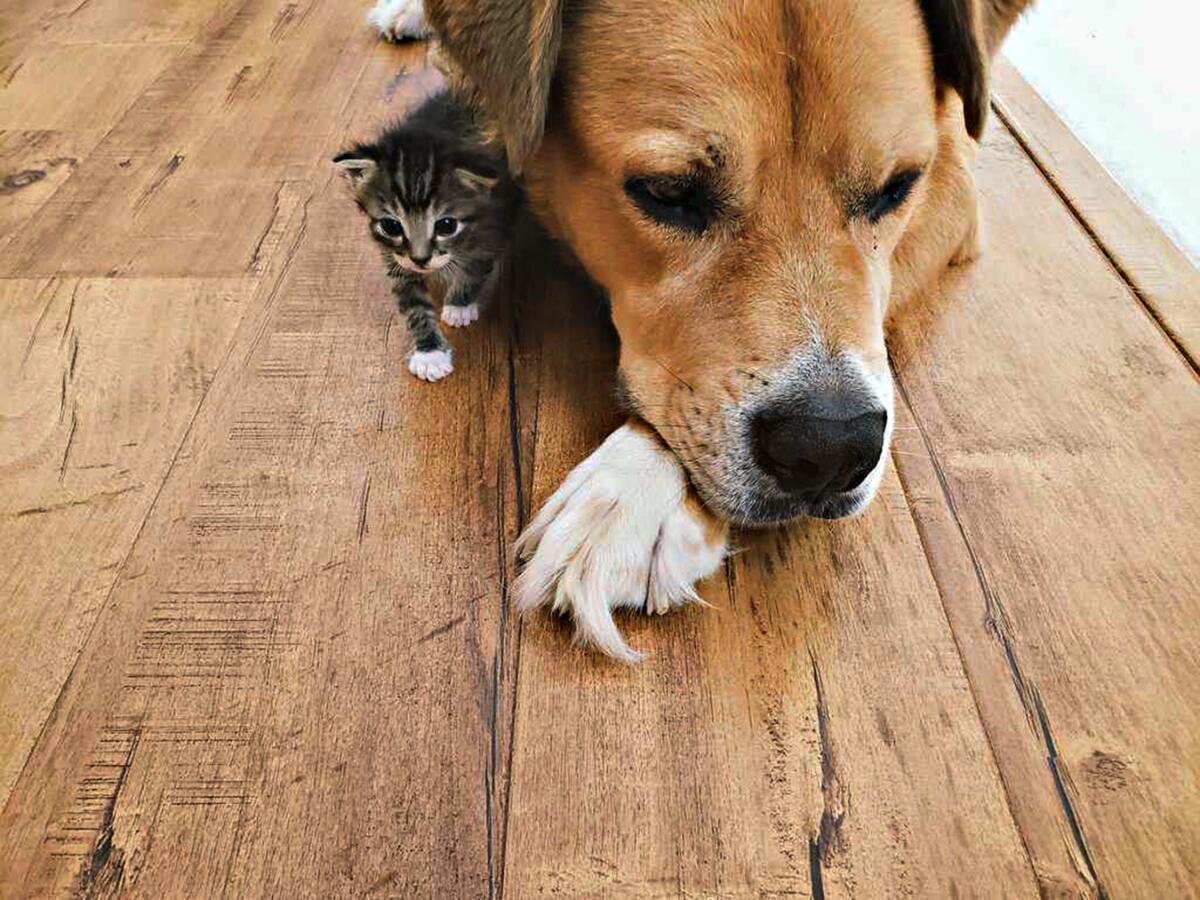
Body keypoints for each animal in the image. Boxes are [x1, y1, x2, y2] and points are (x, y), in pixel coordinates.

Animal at [333, 93, 516, 381]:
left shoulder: (492, 227)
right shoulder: (396, 260)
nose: (420, 259)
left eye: (446, 225)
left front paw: (459, 305)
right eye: (391, 226)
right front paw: (430, 353)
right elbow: (414, 305)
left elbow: (474, 269)